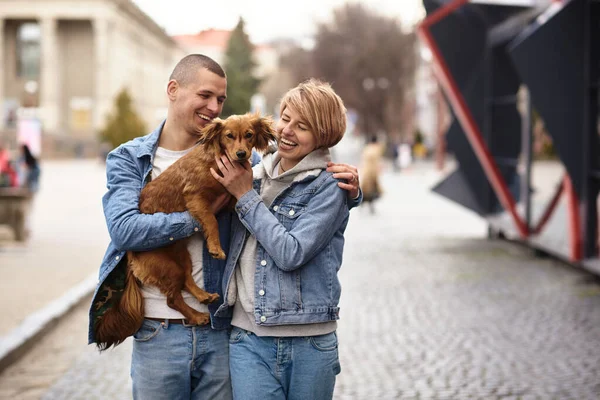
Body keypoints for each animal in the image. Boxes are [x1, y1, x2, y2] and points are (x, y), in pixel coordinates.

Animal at [95, 112, 276, 350]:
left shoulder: (229, 199)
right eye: (229, 136)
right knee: (173, 298)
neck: (215, 159)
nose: (241, 154)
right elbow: (211, 221)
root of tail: (132, 257)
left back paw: (203, 296)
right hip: (169, 268)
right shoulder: (197, 198)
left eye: (249, 135)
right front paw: (216, 247)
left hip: (183, 257)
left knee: (188, 281)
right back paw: (197, 316)